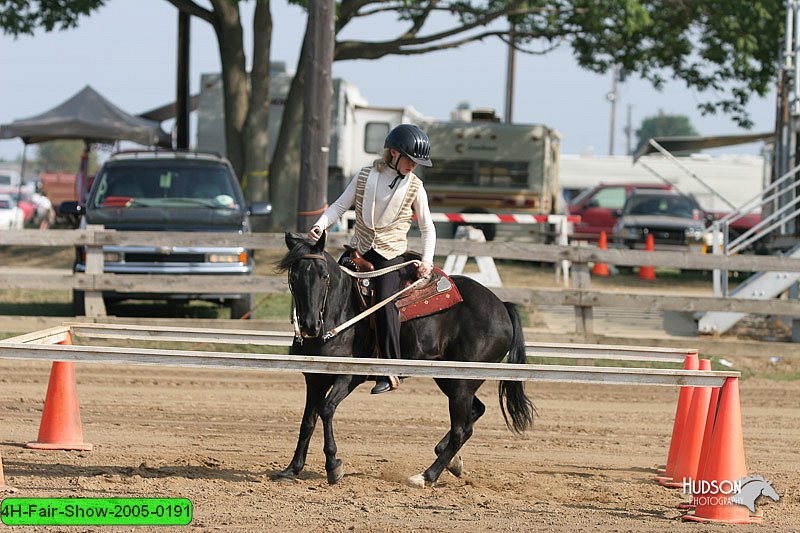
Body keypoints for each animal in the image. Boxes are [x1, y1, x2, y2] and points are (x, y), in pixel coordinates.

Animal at [278, 233, 536, 486]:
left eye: (324, 276)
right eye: (294, 276)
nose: (310, 325)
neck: (341, 310)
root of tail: (501, 306)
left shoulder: (349, 376)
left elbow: (326, 410)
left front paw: (333, 465)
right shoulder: (314, 379)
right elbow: (307, 421)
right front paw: (292, 469)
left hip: (462, 383)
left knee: (461, 429)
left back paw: (426, 476)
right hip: (450, 379)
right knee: (475, 412)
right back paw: (449, 460)